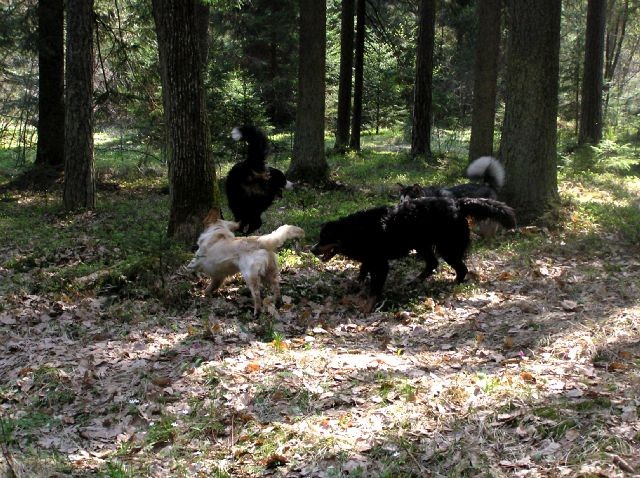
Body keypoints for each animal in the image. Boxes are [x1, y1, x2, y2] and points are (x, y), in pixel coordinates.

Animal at [310, 196, 516, 312]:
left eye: (324, 238)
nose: (312, 249)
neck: (355, 231)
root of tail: (458, 204)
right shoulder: (371, 258)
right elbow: (363, 270)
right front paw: (357, 283)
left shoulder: (380, 263)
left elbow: (375, 287)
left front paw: (368, 306)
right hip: (423, 245)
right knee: (433, 264)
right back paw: (416, 281)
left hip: (446, 247)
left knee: (461, 268)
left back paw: (453, 285)